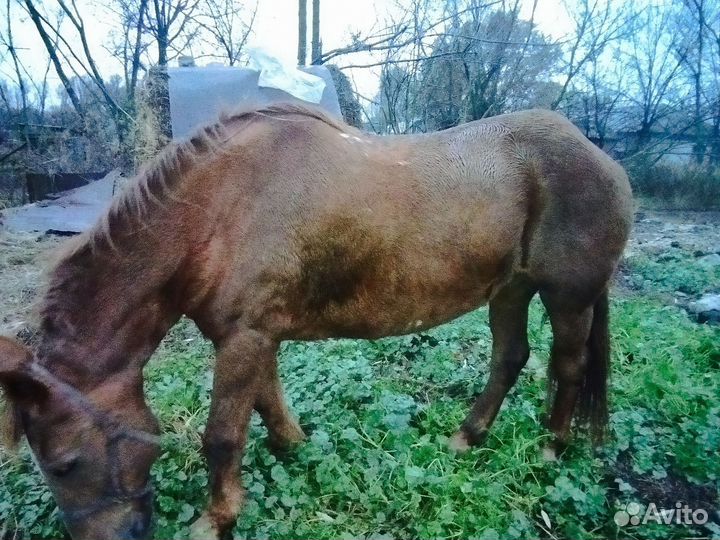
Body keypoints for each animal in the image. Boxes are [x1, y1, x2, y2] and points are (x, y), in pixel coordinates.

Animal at [0, 103, 633, 540]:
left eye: (64, 463)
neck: (218, 211)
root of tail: (599, 155)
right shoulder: (251, 335)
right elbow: (268, 402)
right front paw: (294, 448)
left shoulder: (244, 337)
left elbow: (222, 436)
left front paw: (216, 518)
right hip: (509, 289)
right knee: (510, 357)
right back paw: (466, 438)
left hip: (567, 298)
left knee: (567, 367)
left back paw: (552, 449)